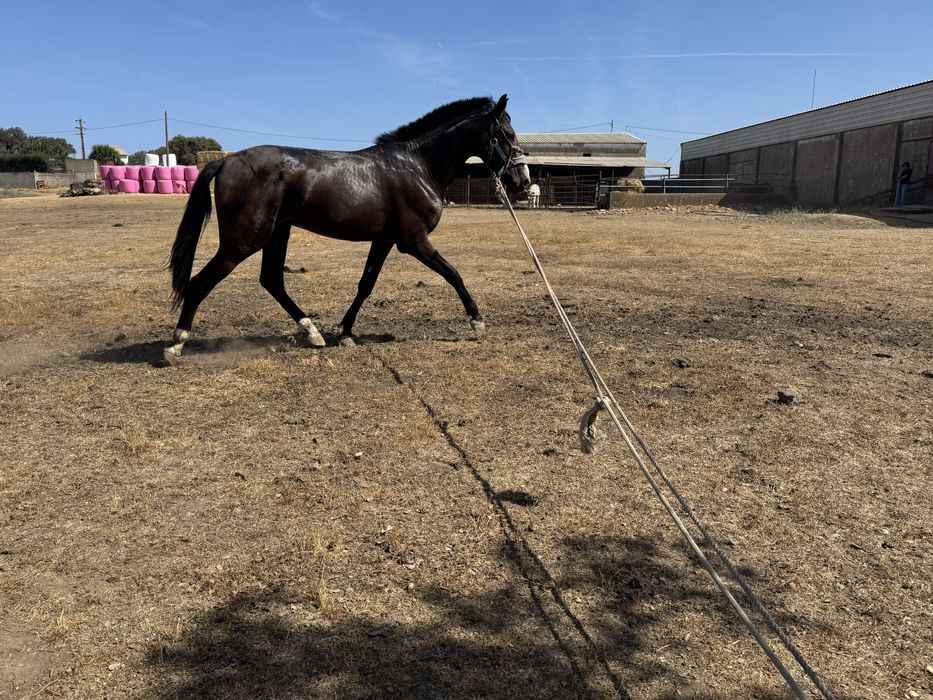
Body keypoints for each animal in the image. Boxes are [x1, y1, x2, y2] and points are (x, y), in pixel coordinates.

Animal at [164, 94, 530, 364]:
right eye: (508, 135)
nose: (523, 181)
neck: (416, 165)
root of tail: (226, 160)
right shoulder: (413, 241)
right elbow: (454, 274)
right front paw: (477, 321)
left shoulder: (384, 240)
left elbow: (365, 284)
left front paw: (345, 332)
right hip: (243, 241)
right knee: (200, 283)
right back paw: (176, 344)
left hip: (277, 233)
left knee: (271, 280)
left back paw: (313, 333)